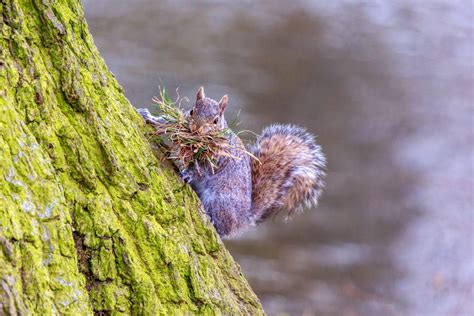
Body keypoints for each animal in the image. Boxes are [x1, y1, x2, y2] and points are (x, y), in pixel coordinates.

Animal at [137, 86, 326, 237]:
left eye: (215, 120)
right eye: (191, 111)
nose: (196, 130)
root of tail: (243, 219)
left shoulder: (219, 158)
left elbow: (202, 170)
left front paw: (188, 173)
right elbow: (167, 124)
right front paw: (149, 116)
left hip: (220, 201)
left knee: (223, 229)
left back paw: (214, 222)